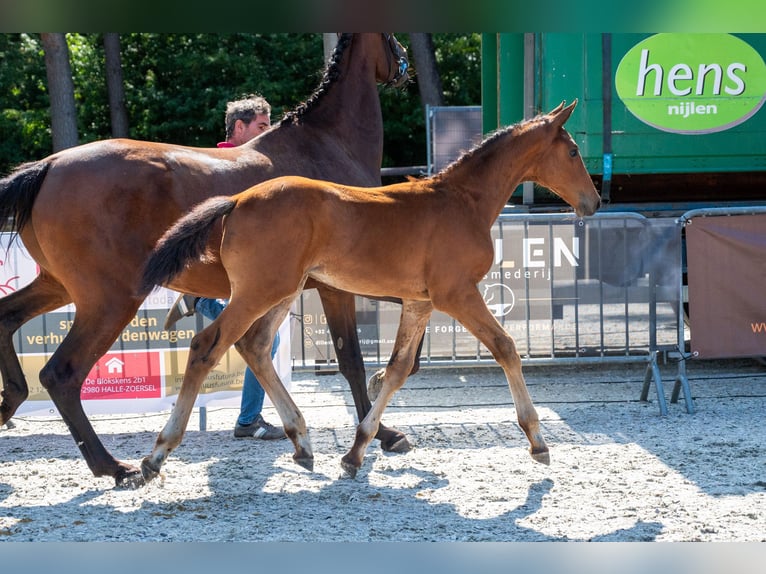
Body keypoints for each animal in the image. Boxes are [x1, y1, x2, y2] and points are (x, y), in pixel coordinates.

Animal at [0, 33, 410, 489]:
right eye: (392, 38)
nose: (404, 65)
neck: (328, 144)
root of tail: (49, 165)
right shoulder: (341, 286)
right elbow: (352, 359)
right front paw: (384, 433)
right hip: (110, 300)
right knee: (61, 373)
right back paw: (115, 466)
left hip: (59, 286)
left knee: (6, 318)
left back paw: (11, 401)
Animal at [139, 101, 601, 481]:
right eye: (573, 152)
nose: (593, 202)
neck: (462, 202)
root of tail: (236, 200)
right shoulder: (457, 294)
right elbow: (505, 347)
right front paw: (537, 441)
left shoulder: (419, 303)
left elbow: (398, 368)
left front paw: (358, 450)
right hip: (258, 292)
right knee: (207, 345)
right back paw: (157, 453)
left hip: (282, 291)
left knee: (254, 346)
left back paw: (302, 441)